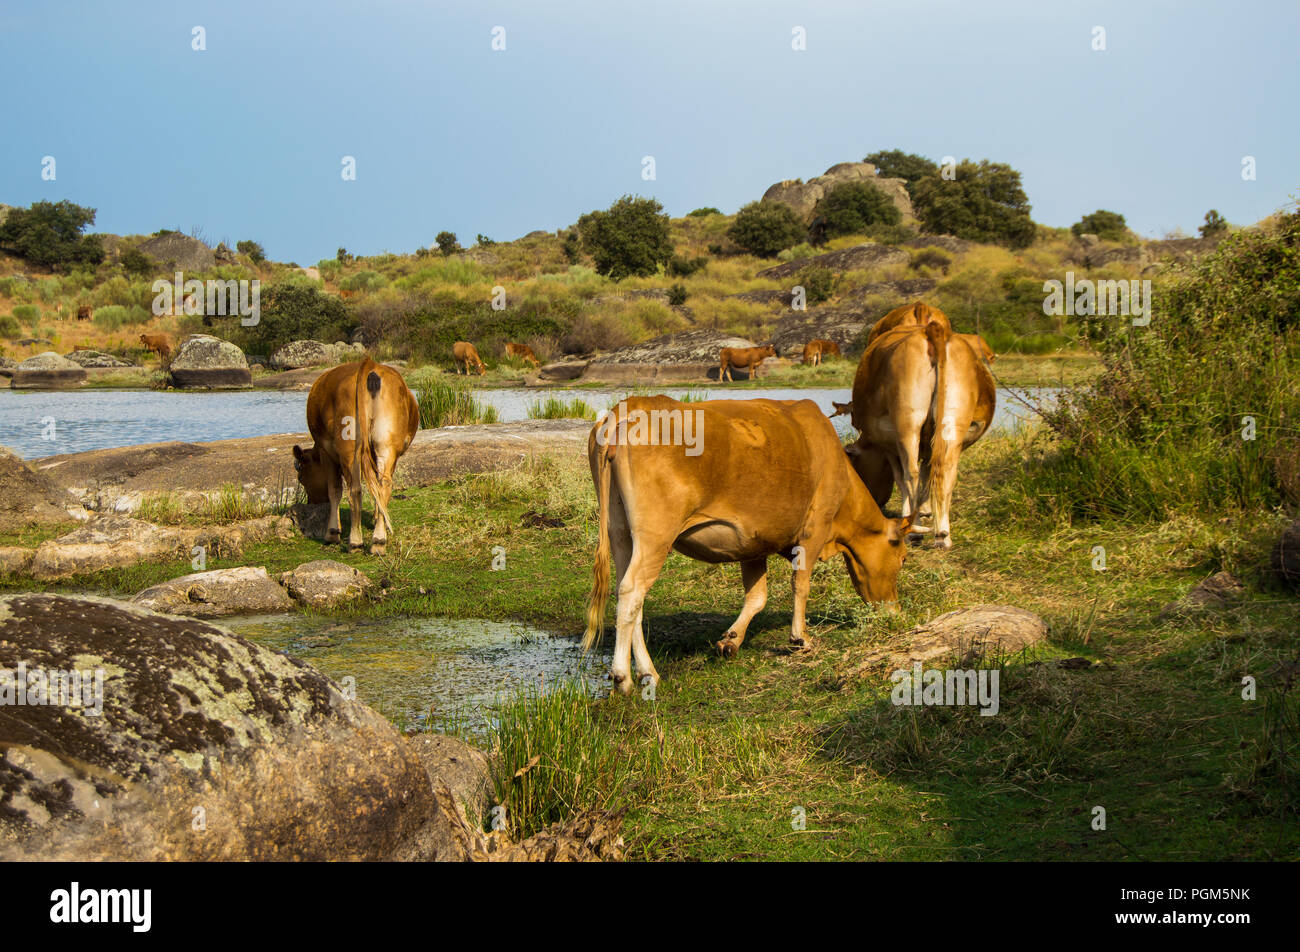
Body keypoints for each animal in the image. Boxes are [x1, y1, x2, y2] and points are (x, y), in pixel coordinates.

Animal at [292, 356, 418, 554]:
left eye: (301, 477)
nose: (313, 502)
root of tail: (369, 365)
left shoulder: (326, 452)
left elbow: (334, 490)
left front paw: (332, 533)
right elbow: (376, 488)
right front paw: (377, 518)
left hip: (349, 446)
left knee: (354, 490)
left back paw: (356, 542)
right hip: (386, 444)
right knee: (384, 485)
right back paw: (378, 541)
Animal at [585, 390, 909, 697]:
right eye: (903, 558)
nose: (895, 613)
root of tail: (628, 408)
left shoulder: (752, 543)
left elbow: (757, 597)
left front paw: (731, 641)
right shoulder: (814, 529)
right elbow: (800, 585)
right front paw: (800, 638)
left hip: (621, 533)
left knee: (628, 594)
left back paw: (648, 672)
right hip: (655, 534)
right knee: (632, 592)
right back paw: (623, 677)